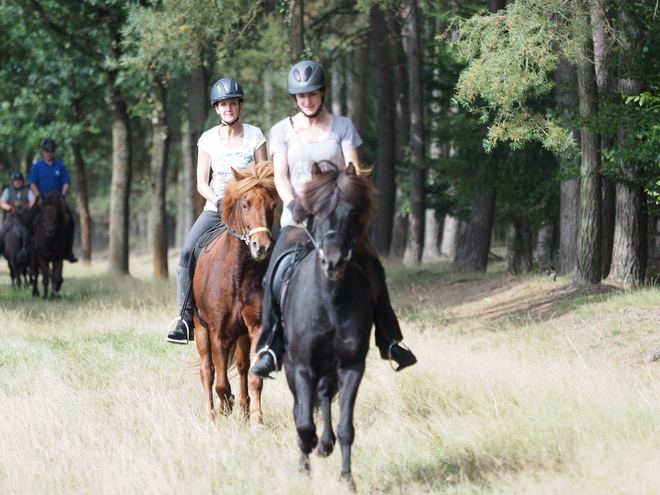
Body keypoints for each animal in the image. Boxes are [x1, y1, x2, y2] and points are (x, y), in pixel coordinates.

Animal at [195, 161, 280, 428]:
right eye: (245, 204)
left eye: (273, 205)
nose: (261, 247)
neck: (238, 274)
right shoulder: (218, 332)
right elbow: (221, 382)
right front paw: (226, 407)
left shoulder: (256, 327)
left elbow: (254, 377)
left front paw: (256, 421)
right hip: (200, 328)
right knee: (207, 372)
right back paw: (211, 416)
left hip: (241, 335)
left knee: (242, 368)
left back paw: (242, 410)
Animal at [282, 162, 378, 484]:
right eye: (318, 212)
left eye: (353, 214)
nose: (333, 263)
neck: (331, 302)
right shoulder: (301, 366)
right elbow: (302, 420)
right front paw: (306, 456)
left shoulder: (351, 366)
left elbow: (346, 426)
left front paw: (347, 478)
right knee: (301, 407)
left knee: (323, 397)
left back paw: (325, 444)